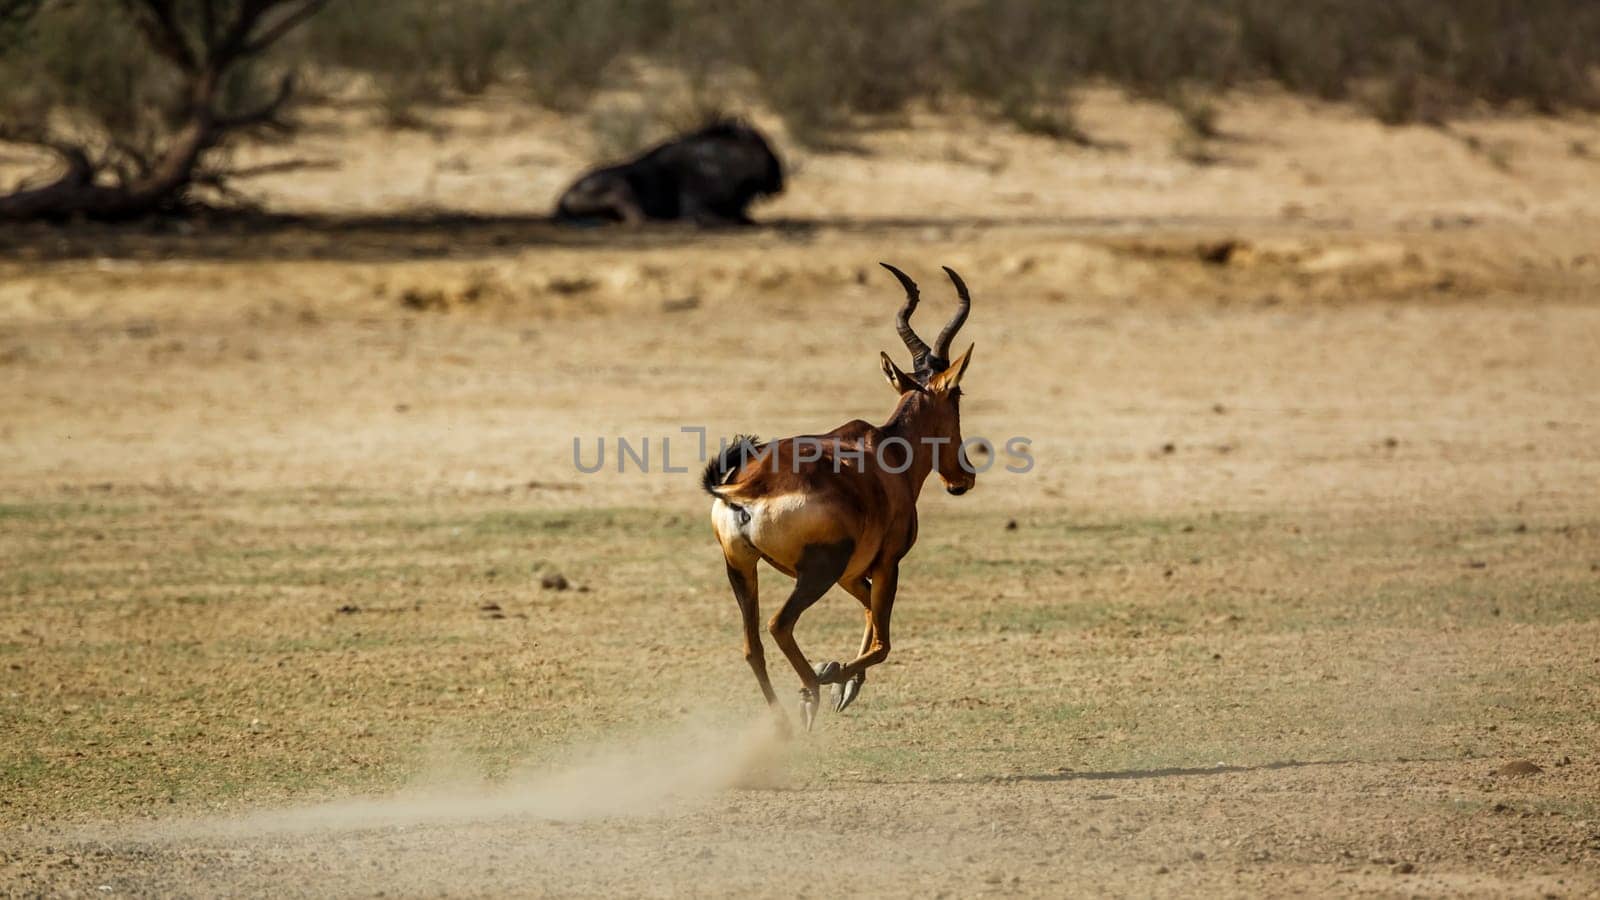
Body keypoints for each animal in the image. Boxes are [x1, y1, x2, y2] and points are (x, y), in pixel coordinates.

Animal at [707, 262, 979, 723]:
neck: (885, 448)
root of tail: (748, 486)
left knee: (752, 646)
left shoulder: (854, 572)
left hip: (741, 567)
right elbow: (883, 641)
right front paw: (832, 674)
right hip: (818, 569)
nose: (962, 478)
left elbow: (870, 613)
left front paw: (844, 682)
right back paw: (810, 693)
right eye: (957, 393)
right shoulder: (886, 562)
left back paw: (785, 718)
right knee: (779, 624)